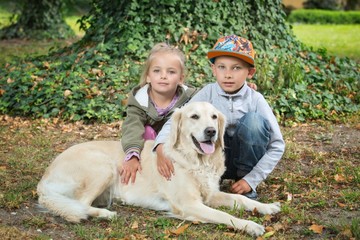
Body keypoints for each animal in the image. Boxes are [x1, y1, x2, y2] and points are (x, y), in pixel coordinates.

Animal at [36, 101, 280, 236]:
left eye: (213, 117)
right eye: (194, 116)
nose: (211, 131)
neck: (195, 161)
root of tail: (44, 179)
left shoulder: (211, 194)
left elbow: (241, 199)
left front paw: (266, 207)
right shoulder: (189, 204)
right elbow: (224, 215)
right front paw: (250, 225)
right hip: (103, 167)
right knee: (79, 205)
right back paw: (106, 214)